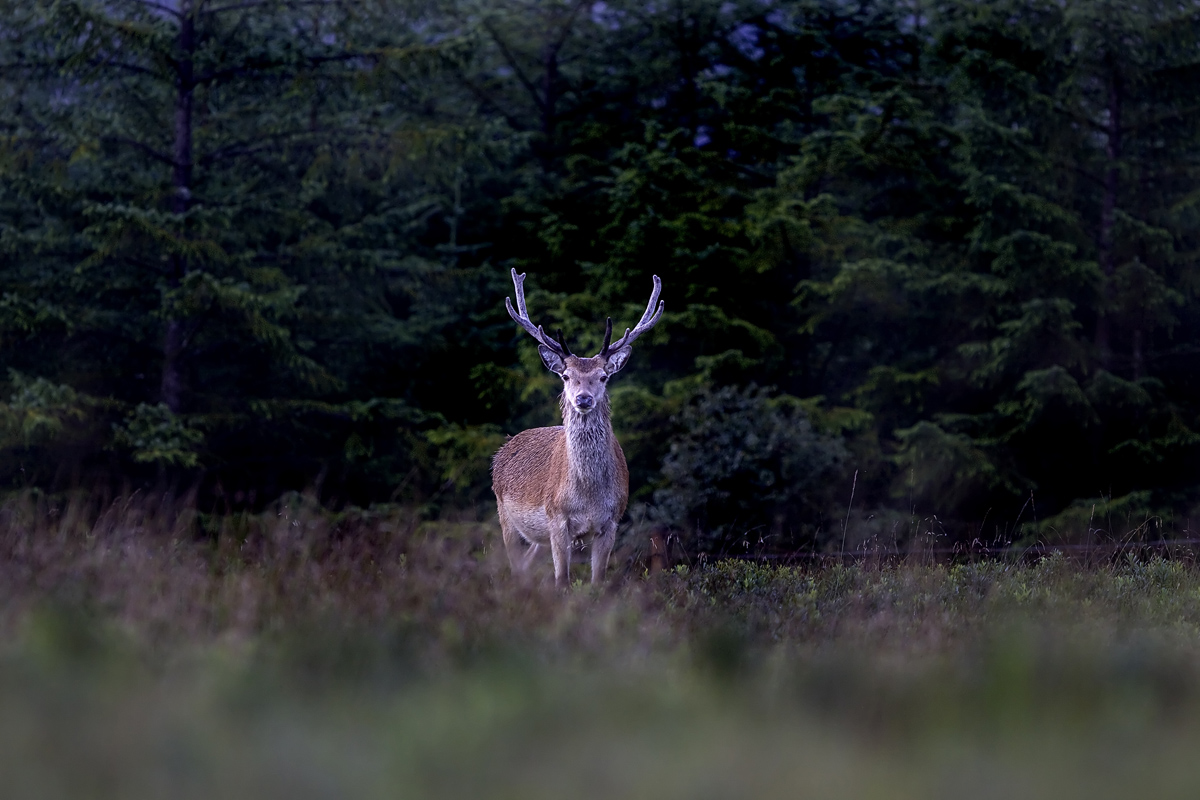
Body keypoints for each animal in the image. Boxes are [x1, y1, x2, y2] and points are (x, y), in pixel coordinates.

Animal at [492, 268, 664, 587]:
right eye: (566, 376)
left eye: (604, 376)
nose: (583, 398)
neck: (588, 498)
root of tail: (504, 448)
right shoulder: (557, 518)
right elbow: (562, 580)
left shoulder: (611, 521)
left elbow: (598, 581)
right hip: (505, 514)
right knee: (515, 566)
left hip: (538, 538)